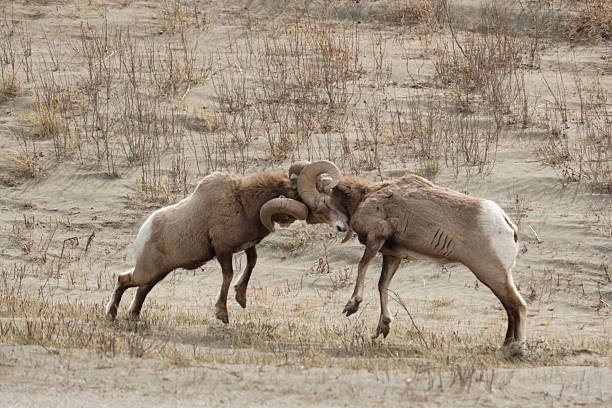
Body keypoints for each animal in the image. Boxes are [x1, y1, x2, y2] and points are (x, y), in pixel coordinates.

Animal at [104, 169, 310, 322]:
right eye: (296, 196)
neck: (242, 203)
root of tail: (144, 231)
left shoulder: (247, 246)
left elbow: (252, 262)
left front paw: (241, 299)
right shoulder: (222, 250)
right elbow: (229, 275)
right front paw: (222, 314)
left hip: (157, 274)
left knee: (141, 290)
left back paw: (132, 316)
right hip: (147, 272)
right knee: (123, 280)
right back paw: (111, 315)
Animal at [296, 165, 524, 350]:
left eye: (322, 204)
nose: (340, 227)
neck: (365, 198)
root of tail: (507, 225)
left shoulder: (376, 238)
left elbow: (361, 267)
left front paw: (352, 306)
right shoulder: (392, 255)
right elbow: (382, 285)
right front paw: (383, 328)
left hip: (491, 274)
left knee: (517, 306)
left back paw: (515, 349)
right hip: (499, 276)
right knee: (510, 309)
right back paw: (505, 346)